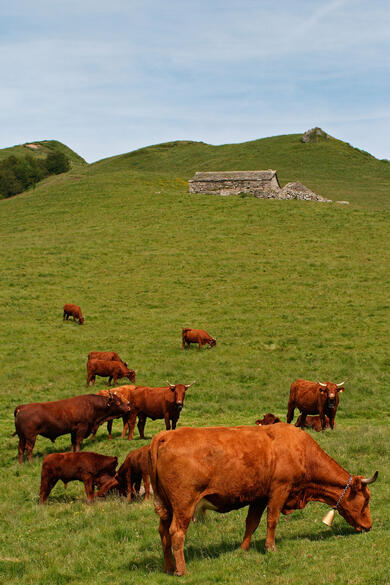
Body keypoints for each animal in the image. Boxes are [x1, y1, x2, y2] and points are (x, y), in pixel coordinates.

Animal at [149, 422, 378, 576]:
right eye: (366, 500)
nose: (369, 525)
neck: (300, 449)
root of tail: (166, 435)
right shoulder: (279, 490)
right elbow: (272, 520)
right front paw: (271, 547)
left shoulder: (259, 497)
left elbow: (251, 523)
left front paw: (243, 549)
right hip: (183, 505)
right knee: (176, 533)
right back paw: (181, 570)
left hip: (166, 508)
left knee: (163, 532)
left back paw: (169, 567)